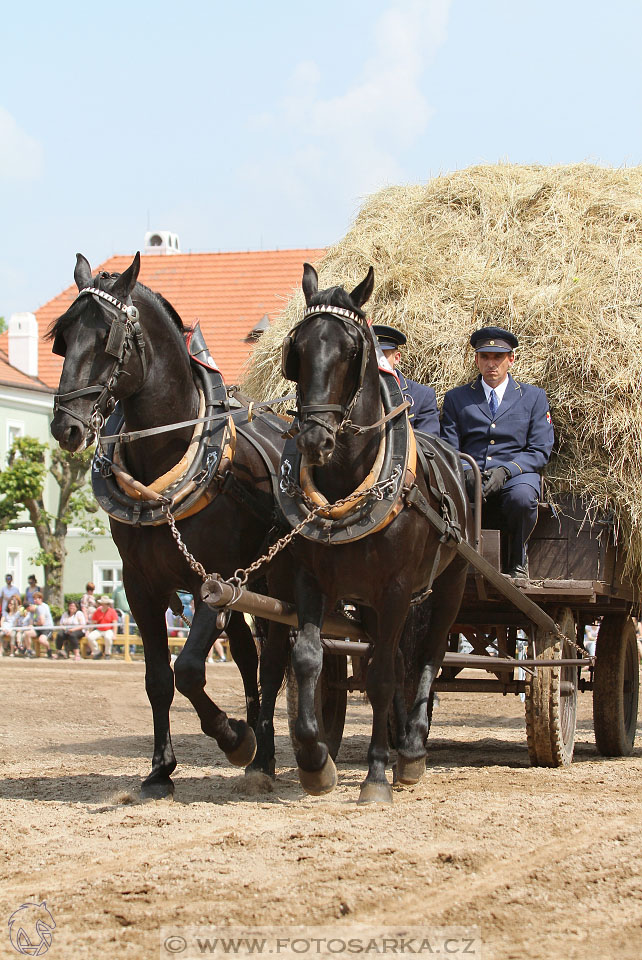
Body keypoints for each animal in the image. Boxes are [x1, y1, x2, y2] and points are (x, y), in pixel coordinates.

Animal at [47, 251, 282, 800]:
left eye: (108, 338)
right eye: (62, 339)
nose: (67, 427)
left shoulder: (212, 581)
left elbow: (190, 669)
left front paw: (233, 738)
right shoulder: (141, 585)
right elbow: (159, 677)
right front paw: (160, 770)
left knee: (274, 659)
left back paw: (262, 752)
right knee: (248, 656)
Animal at [251, 262, 470, 804]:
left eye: (352, 351)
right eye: (298, 348)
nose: (315, 438)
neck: (348, 479)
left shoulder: (395, 590)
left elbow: (384, 678)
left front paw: (375, 775)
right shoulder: (312, 582)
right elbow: (308, 659)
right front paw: (315, 763)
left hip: (449, 585)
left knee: (426, 659)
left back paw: (411, 751)